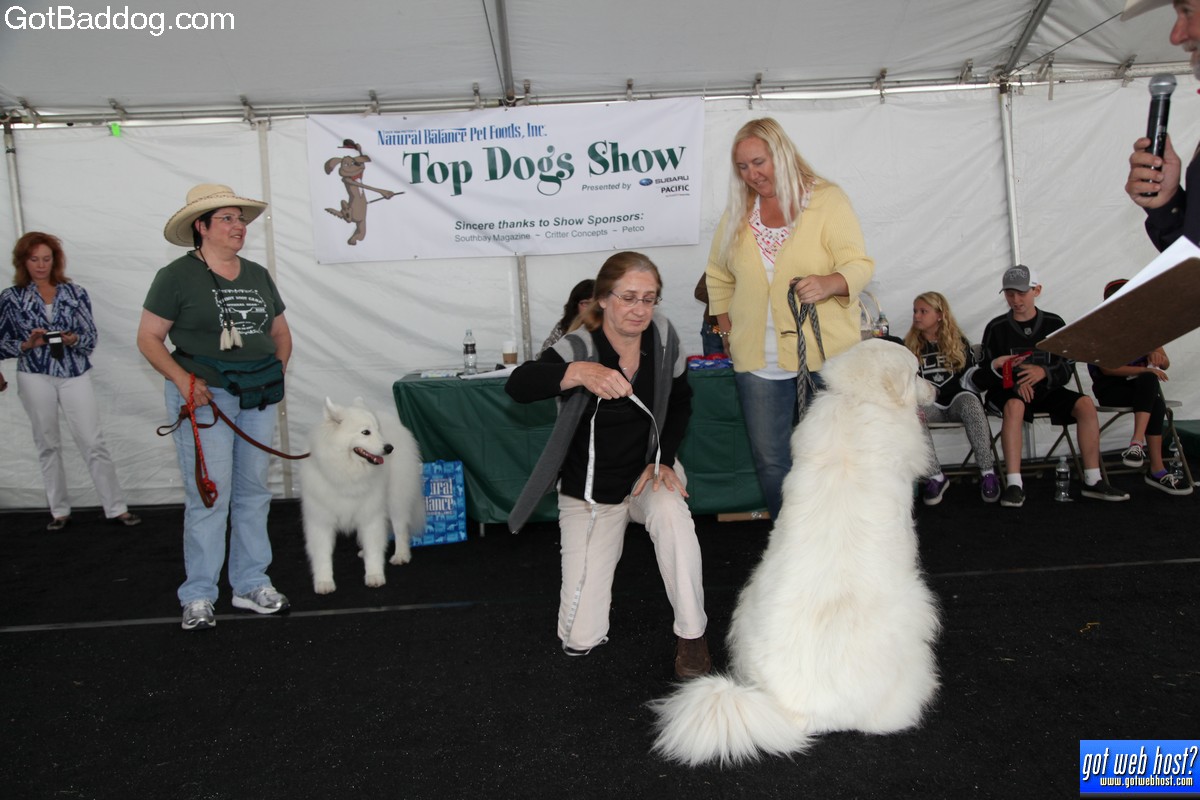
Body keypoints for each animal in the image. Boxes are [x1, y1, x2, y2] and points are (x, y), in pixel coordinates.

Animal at [301, 397, 425, 594]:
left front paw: (374, 576)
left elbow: (374, 548)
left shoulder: (371, 514)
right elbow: (322, 555)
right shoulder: (320, 520)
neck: (347, 473)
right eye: (365, 432)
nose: (389, 448)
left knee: (400, 528)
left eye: (377, 430)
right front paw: (324, 582)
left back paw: (401, 555)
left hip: (396, 499)